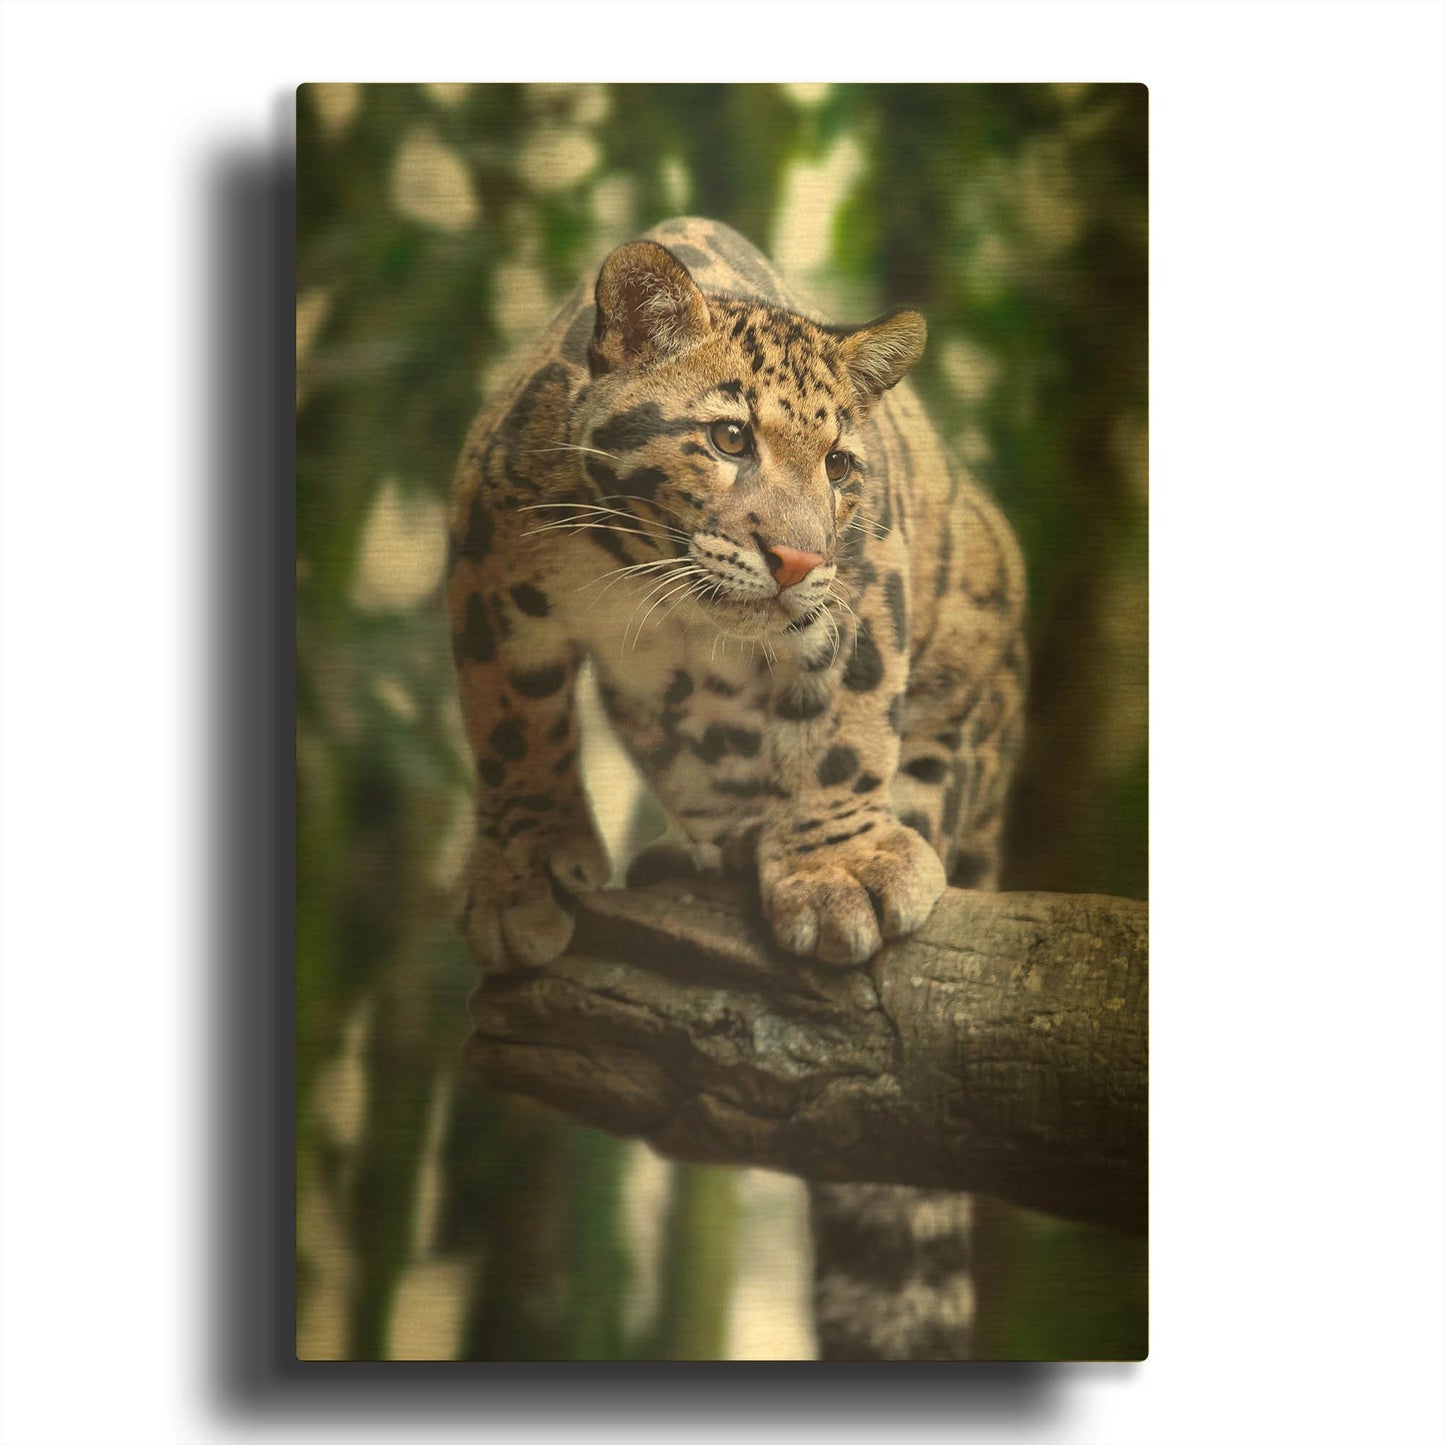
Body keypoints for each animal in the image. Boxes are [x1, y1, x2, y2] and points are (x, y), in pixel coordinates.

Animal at [447, 217, 1027, 1359]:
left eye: (841, 465)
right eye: (726, 440)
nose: (796, 556)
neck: (646, 578)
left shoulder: (864, 583)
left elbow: (846, 724)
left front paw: (840, 872)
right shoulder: (487, 554)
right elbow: (513, 726)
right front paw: (524, 876)